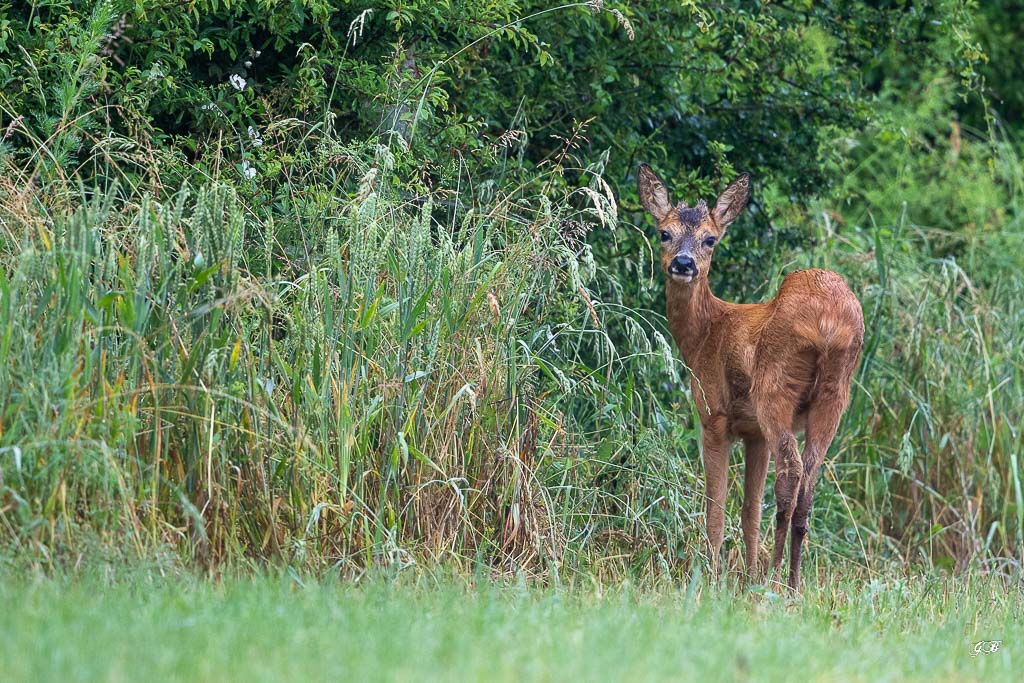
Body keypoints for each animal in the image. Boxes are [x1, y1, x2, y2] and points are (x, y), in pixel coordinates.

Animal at [637, 163, 864, 590]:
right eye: (664, 233)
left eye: (710, 239)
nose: (684, 264)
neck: (705, 334)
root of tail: (828, 322)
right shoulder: (754, 432)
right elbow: (749, 509)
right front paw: (746, 573)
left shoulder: (714, 415)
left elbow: (716, 503)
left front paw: (712, 574)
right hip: (835, 394)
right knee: (810, 479)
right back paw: (791, 582)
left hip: (775, 387)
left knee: (791, 471)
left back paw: (775, 579)